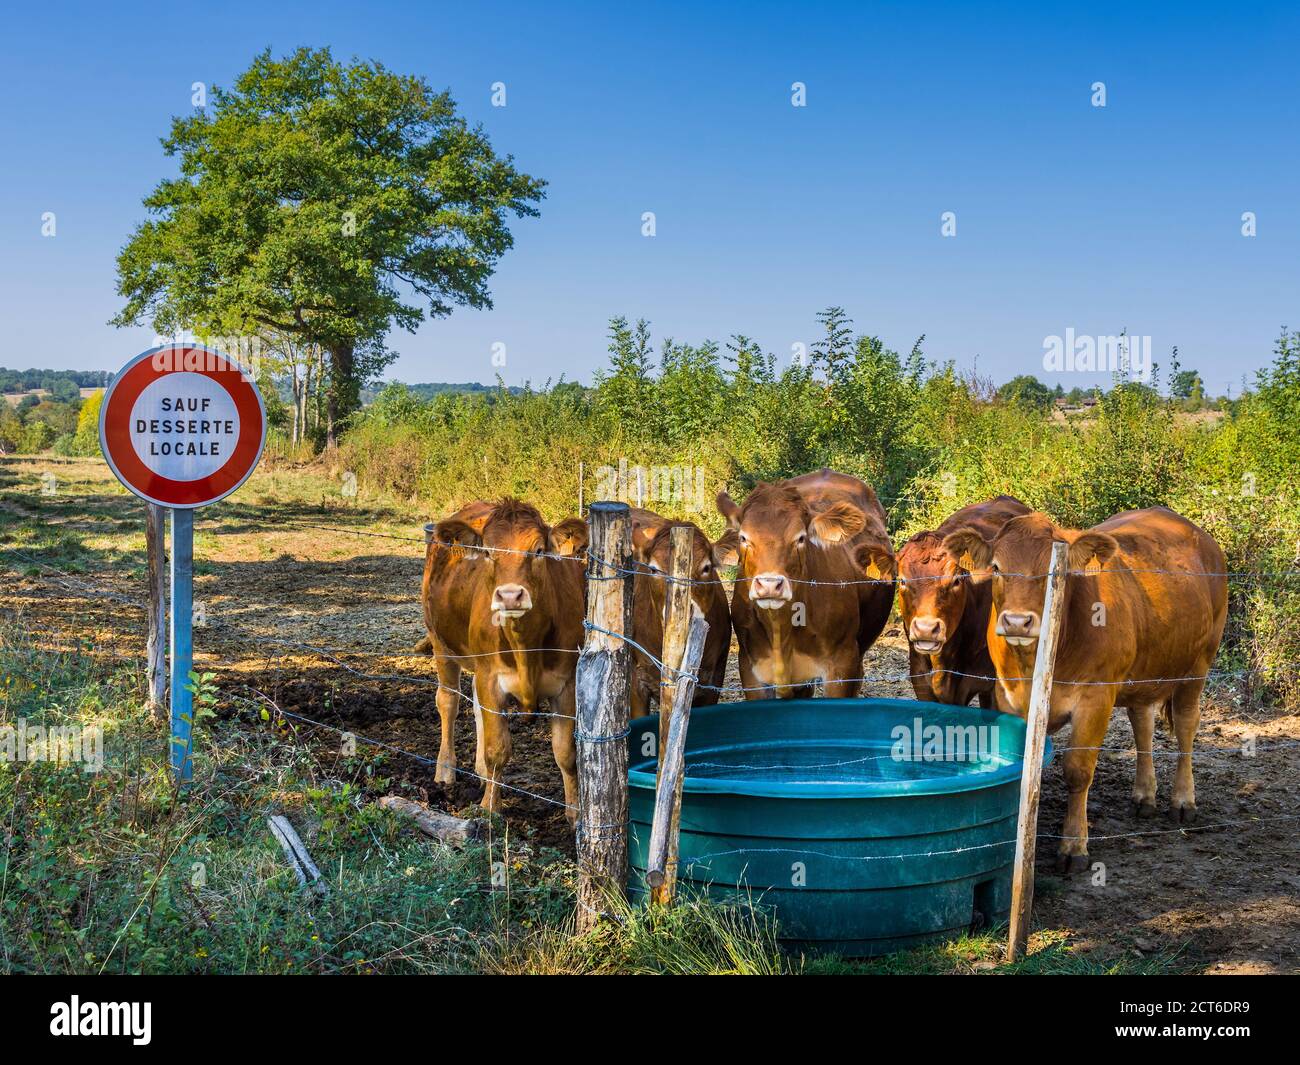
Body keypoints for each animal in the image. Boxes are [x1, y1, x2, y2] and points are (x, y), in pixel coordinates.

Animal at [421, 498, 588, 821]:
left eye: (538, 551)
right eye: (488, 552)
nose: (510, 596)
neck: (526, 648)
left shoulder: (567, 683)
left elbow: (566, 752)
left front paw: (575, 814)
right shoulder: (491, 678)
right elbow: (497, 749)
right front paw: (489, 809)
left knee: (475, 707)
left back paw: (479, 771)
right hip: (440, 642)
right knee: (448, 701)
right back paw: (445, 770)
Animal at [943, 507, 1228, 872]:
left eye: (1054, 571)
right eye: (995, 567)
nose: (1017, 621)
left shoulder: (1096, 696)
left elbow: (1078, 771)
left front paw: (1073, 846)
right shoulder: (1007, 696)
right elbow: (1023, 767)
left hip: (1199, 663)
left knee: (1186, 725)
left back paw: (1183, 800)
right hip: (1143, 672)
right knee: (1142, 723)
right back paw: (1144, 795)